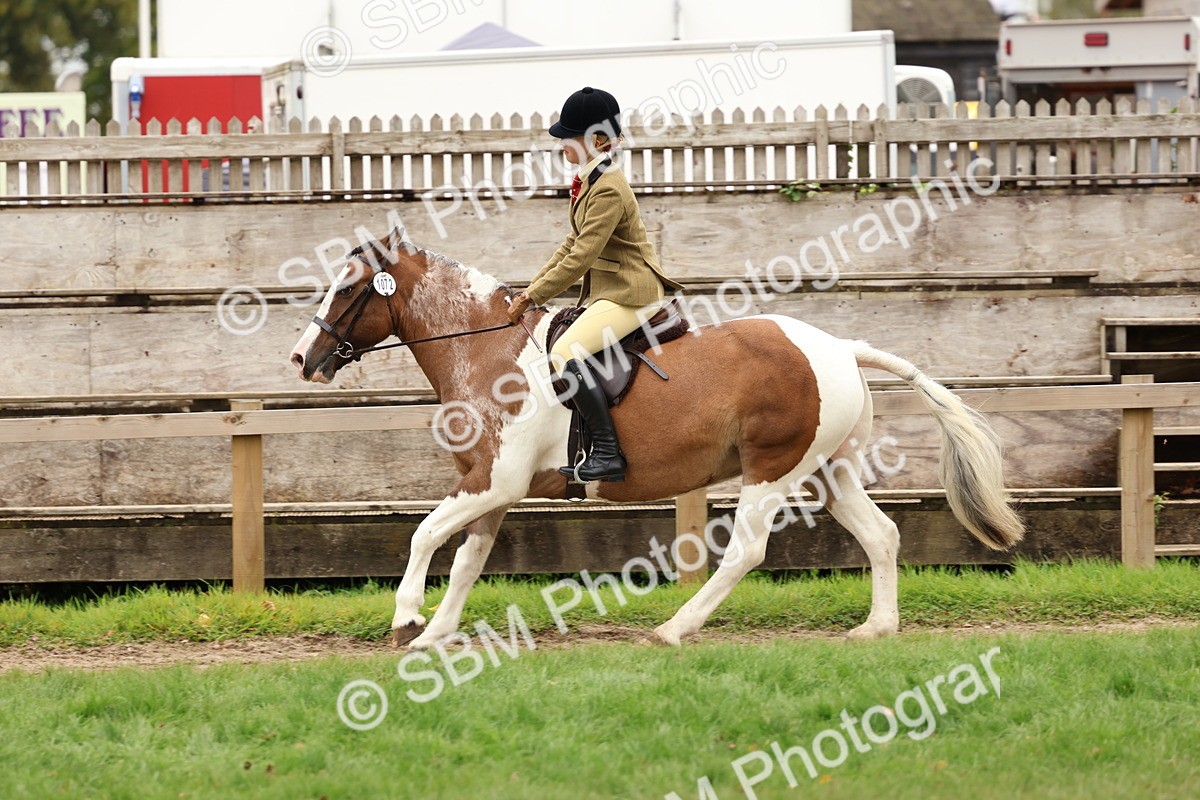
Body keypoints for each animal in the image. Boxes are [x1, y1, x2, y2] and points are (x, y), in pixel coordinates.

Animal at [289, 229, 1024, 649]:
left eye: (348, 289)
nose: (302, 358)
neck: (489, 351)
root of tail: (839, 348)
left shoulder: (494, 480)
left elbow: (422, 535)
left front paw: (406, 618)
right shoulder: (491, 488)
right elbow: (467, 559)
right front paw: (435, 634)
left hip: (772, 470)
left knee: (746, 551)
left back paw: (675, 629)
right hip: (826, 472)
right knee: (882, 536)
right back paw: (877, 628)